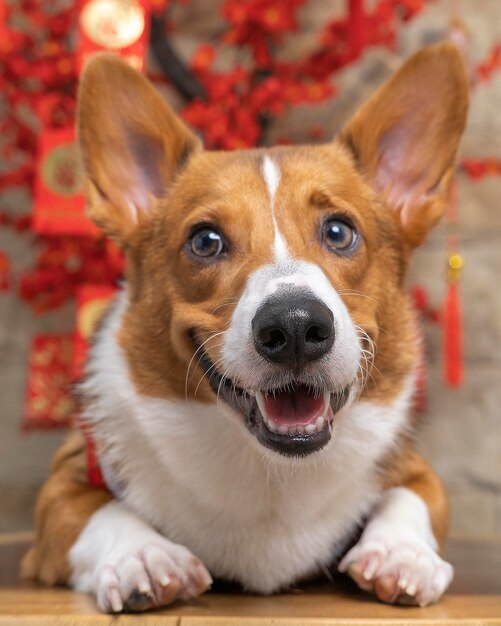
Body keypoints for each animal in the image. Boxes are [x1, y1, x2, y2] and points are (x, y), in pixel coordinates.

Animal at [22, 41, 468, 612]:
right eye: (205, 241)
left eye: (339, 232)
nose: (296, 327)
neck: (270, 469)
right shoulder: (63, 486)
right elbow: (96, 512)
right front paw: (144, 556)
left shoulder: (415, 470)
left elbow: (411, 498)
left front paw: (400, 554)